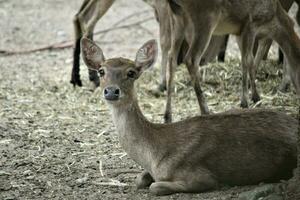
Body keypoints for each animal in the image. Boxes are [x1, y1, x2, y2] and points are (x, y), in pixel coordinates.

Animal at [80, 38, 298, 196]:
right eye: (101, 71)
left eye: (131, 72)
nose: (111, 91)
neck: (153, 155)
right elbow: (140, 180)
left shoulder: (201, 176)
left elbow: (155, 187)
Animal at [164, 0, 300, 122]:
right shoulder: (250, 24)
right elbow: (248, 60)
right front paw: (249, 100)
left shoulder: (239, 32)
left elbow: (247, 60)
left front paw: (253, 98)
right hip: (205, 18)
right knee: (191, 58)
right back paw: (206, 110)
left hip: (177, 19)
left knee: (171, 58)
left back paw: (167, 116)